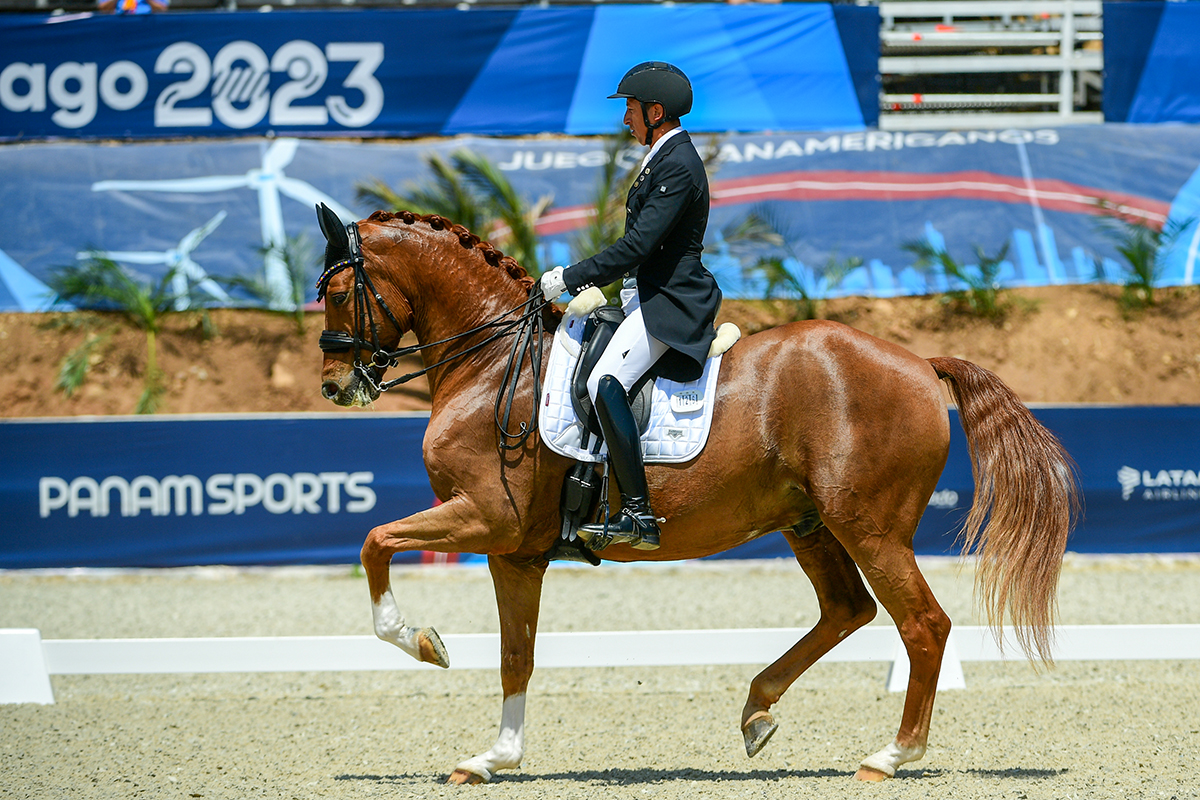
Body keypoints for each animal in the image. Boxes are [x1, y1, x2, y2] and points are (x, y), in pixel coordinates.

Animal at [316, 208, 1080, 786]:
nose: (334, 386)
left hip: (870, 526)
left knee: (922, 624)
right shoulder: (516, 552)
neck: (493, 364)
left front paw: (421, 643)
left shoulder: (485, 521)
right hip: (808, 521)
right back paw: (757, 713)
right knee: (848, 609)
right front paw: (493, 757)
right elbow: (517, 655)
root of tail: (921, 361)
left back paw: (890, 755)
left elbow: (375, 542)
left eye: (335, 291)